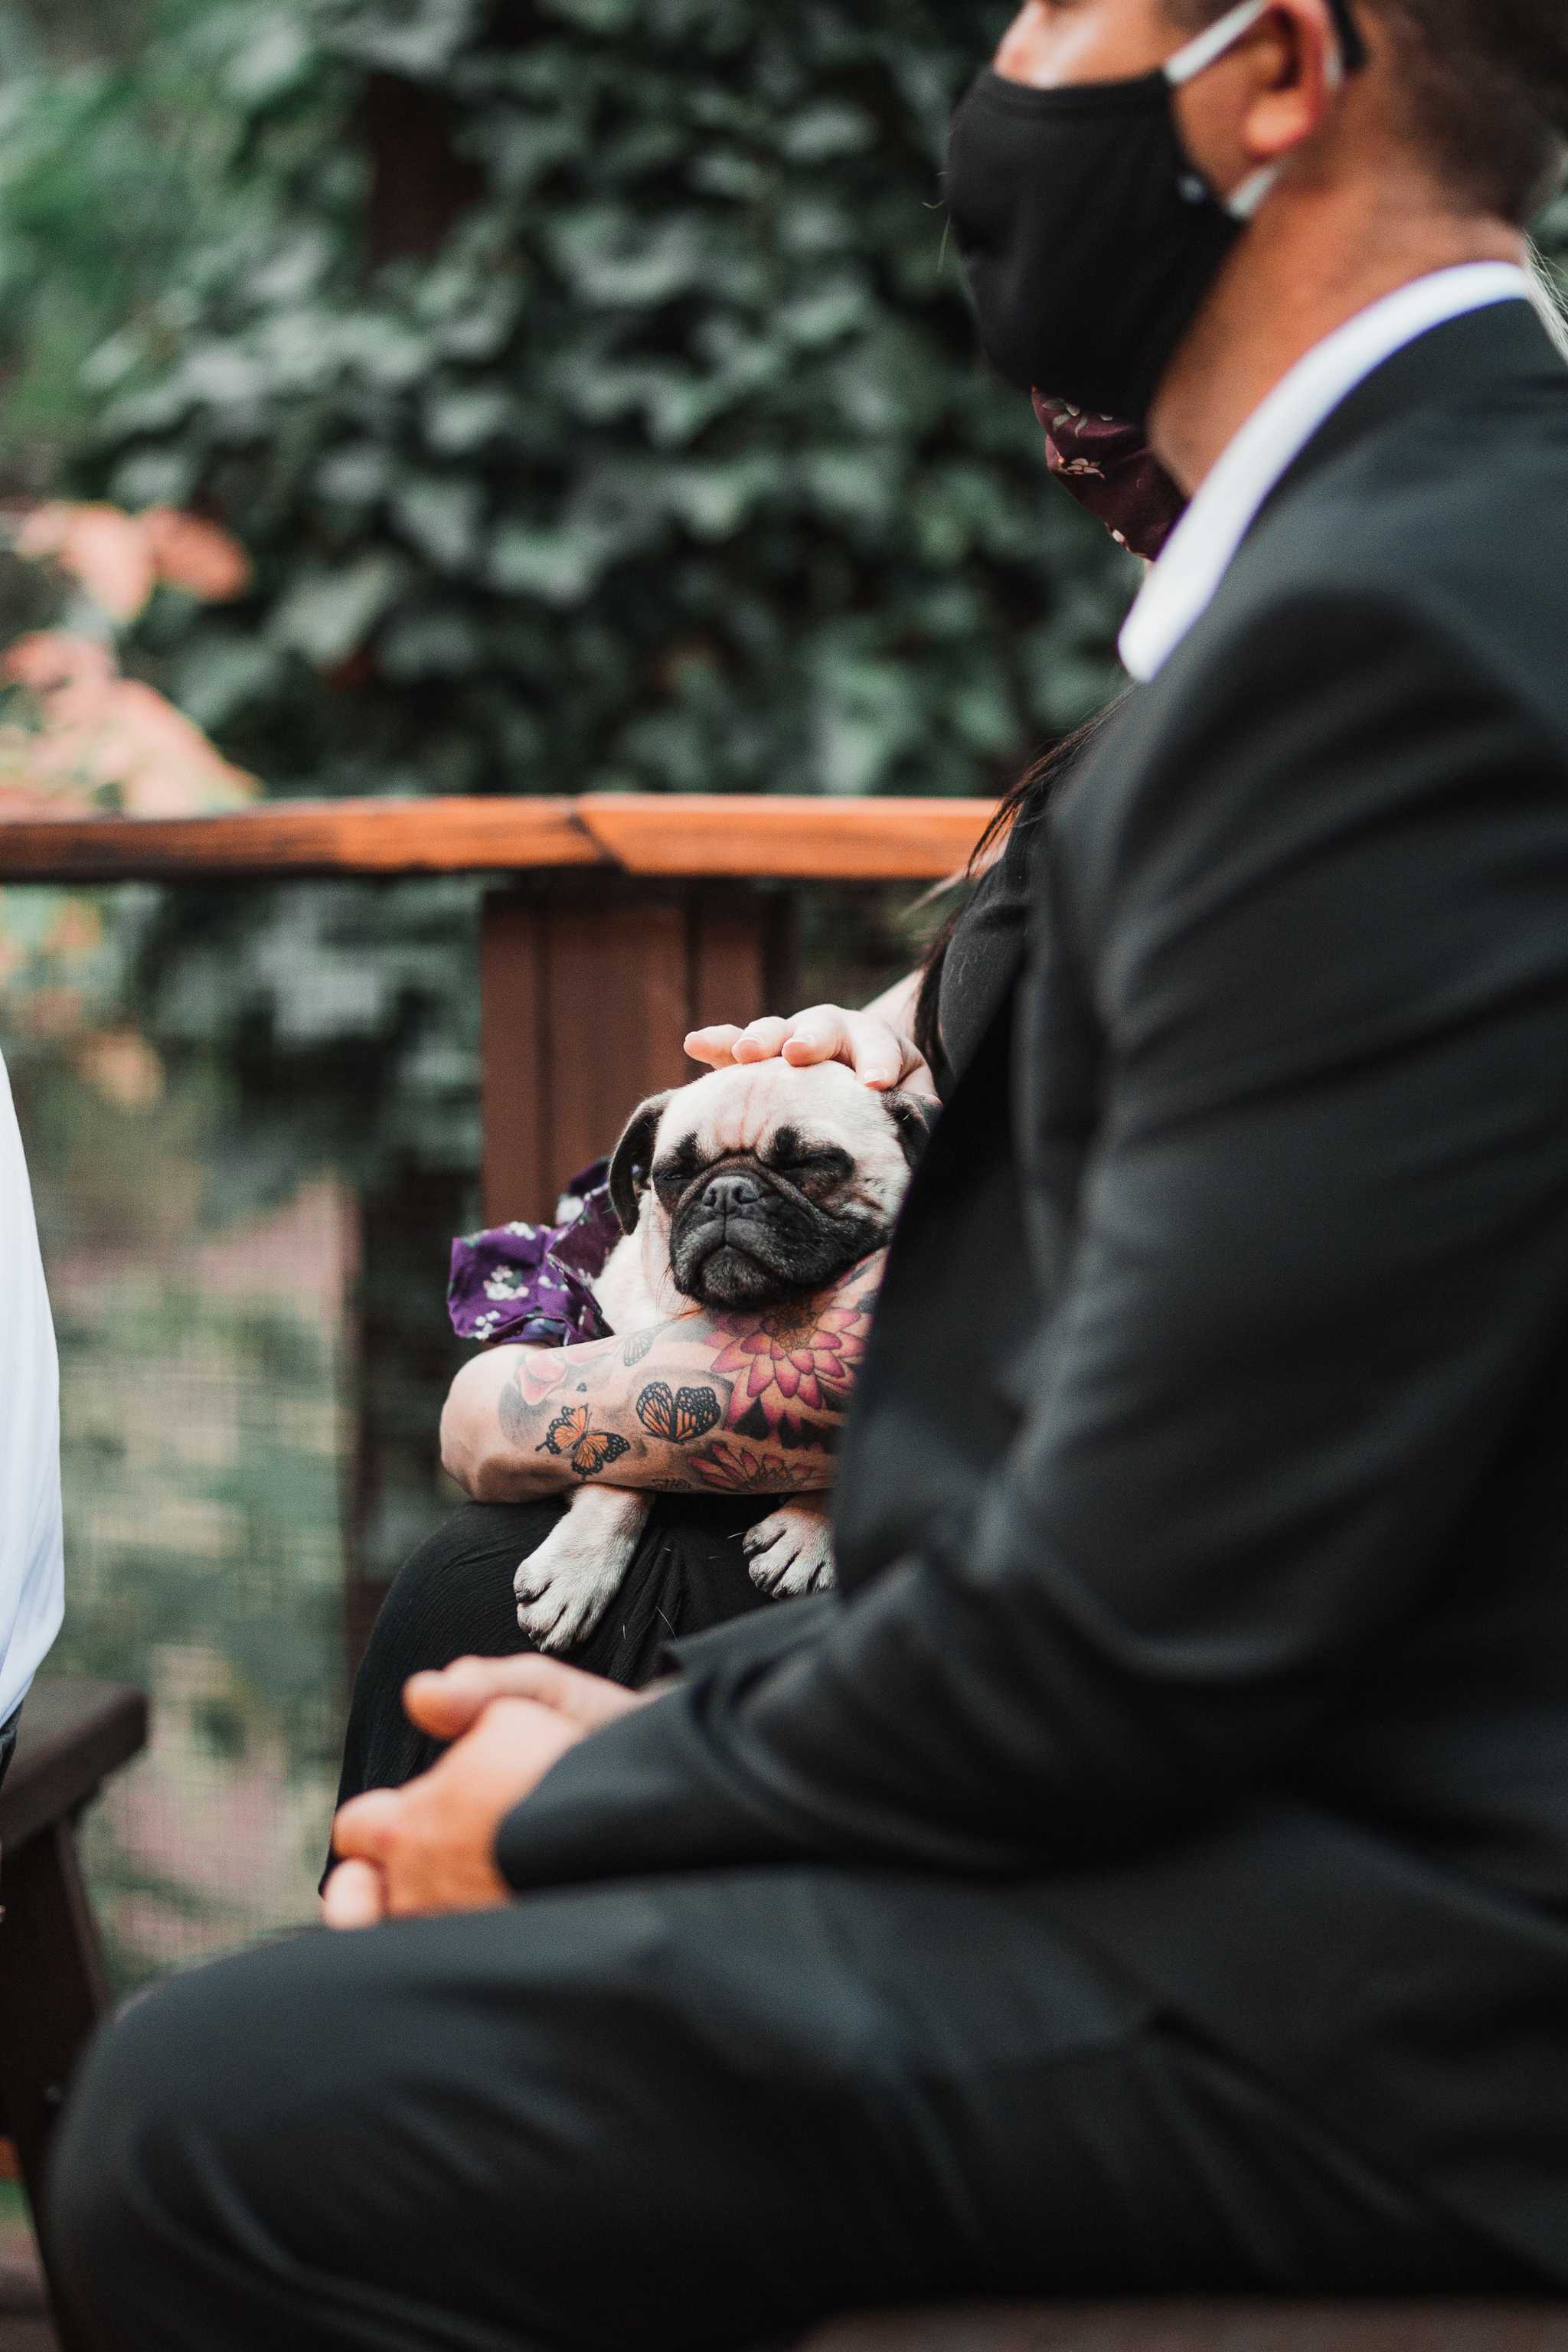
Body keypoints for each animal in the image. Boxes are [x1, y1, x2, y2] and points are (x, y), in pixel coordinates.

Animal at [514, 1049, 930, 1655]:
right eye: (674, 1175)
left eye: (811, 1162)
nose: (726, 1191)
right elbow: (621, 1468)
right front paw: (576, 1567)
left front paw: (810, 1530)